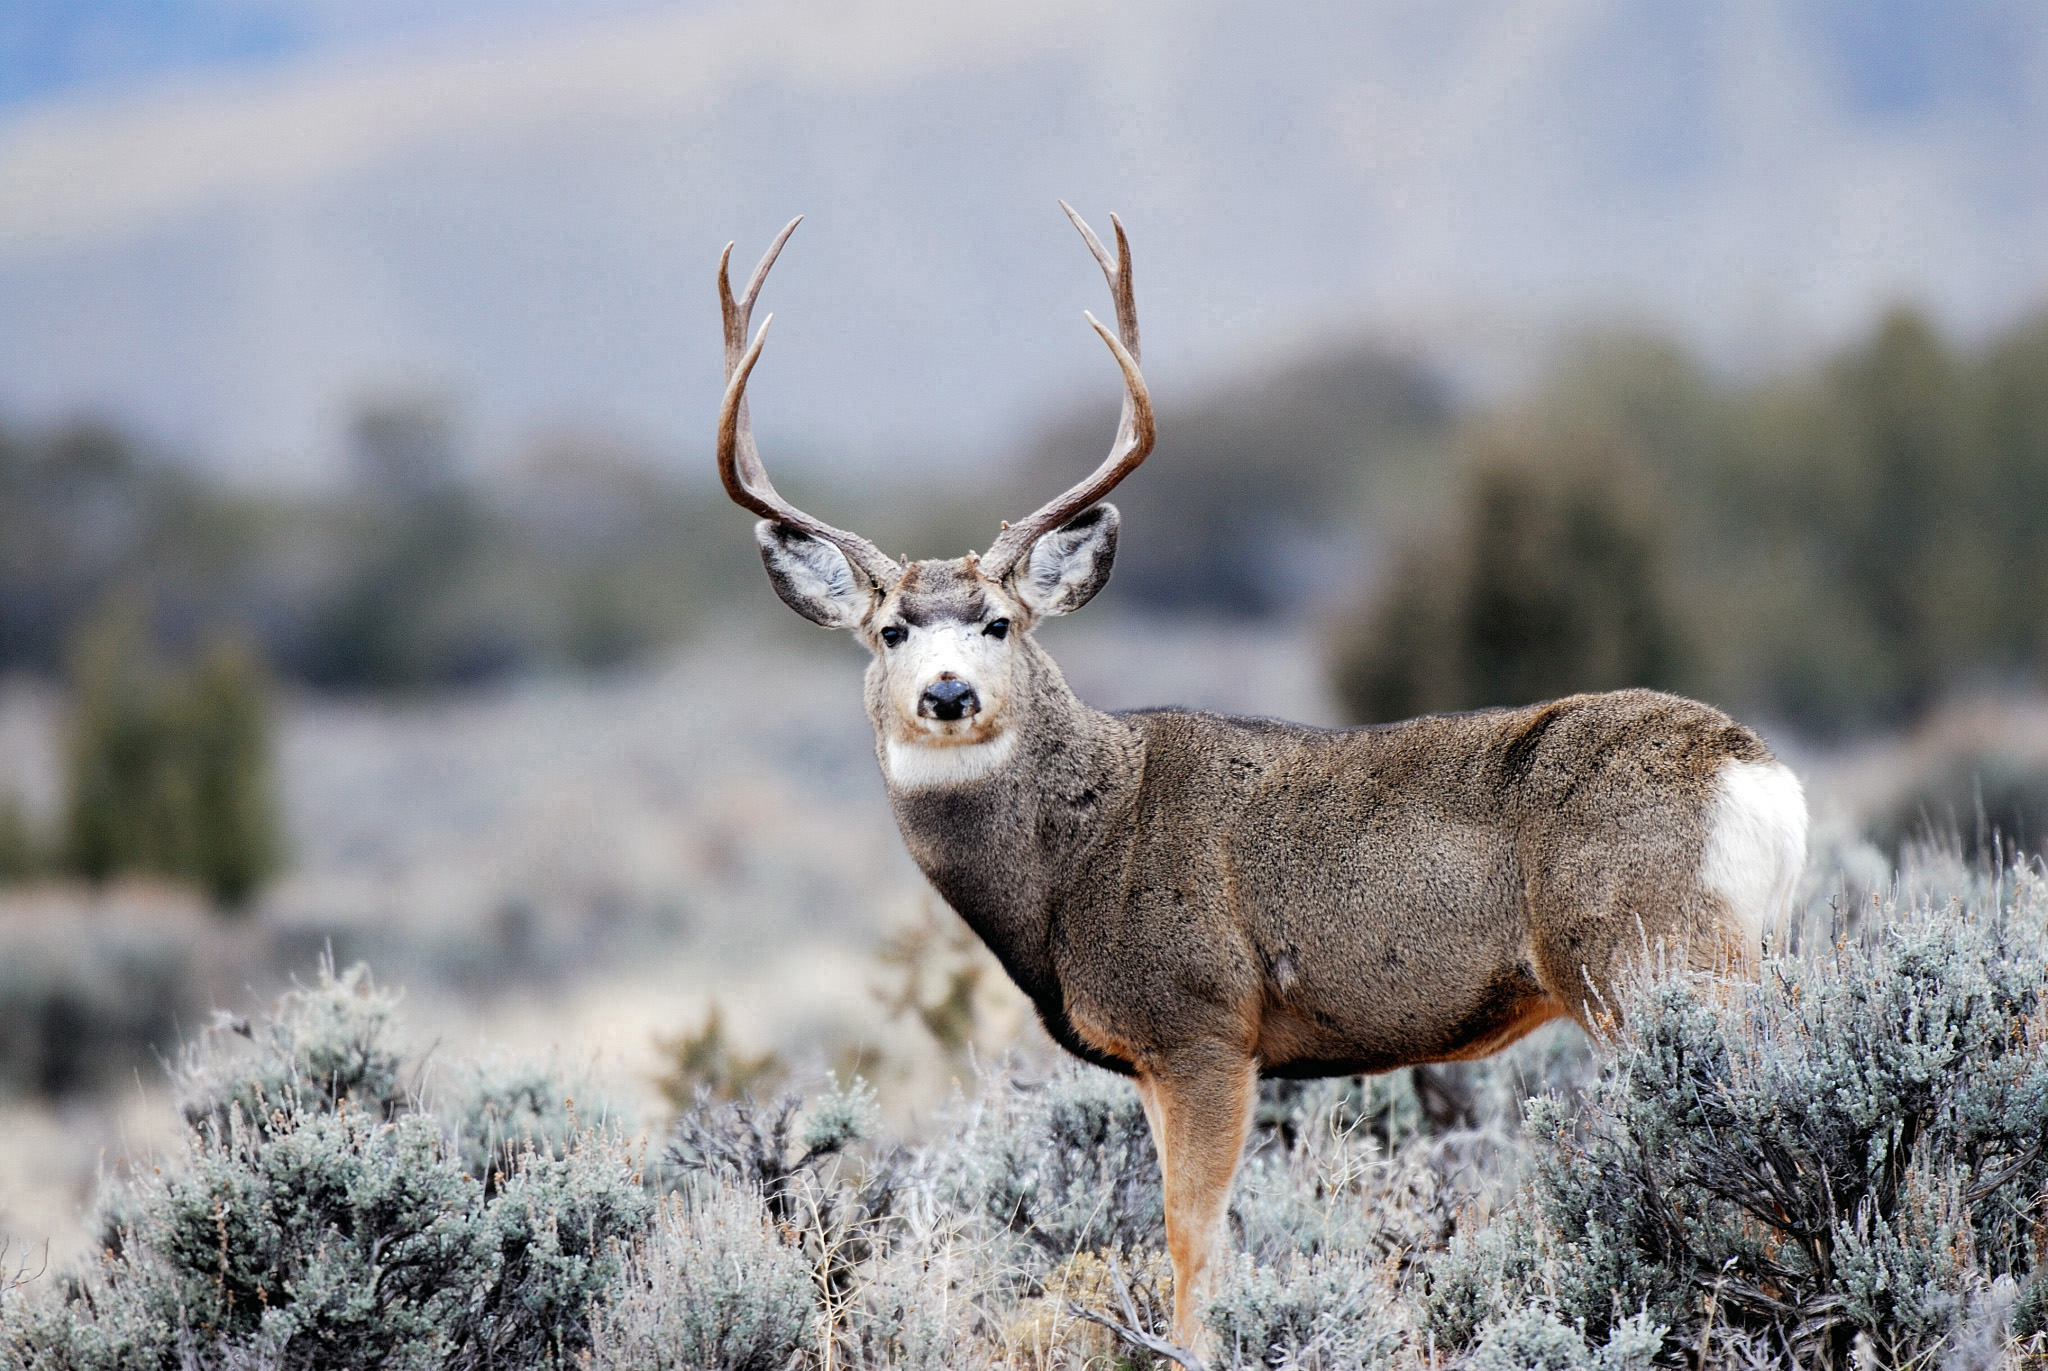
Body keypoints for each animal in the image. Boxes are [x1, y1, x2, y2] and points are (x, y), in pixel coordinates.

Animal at [708, 202, 1810, 1344]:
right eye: (889, 631)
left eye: (999, 622)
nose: (949, 693)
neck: (1075, 859)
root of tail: (1761, 777)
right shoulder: (1155, 1056)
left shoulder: (1201, 1020)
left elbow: (1193, 1240)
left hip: (1647, 956)